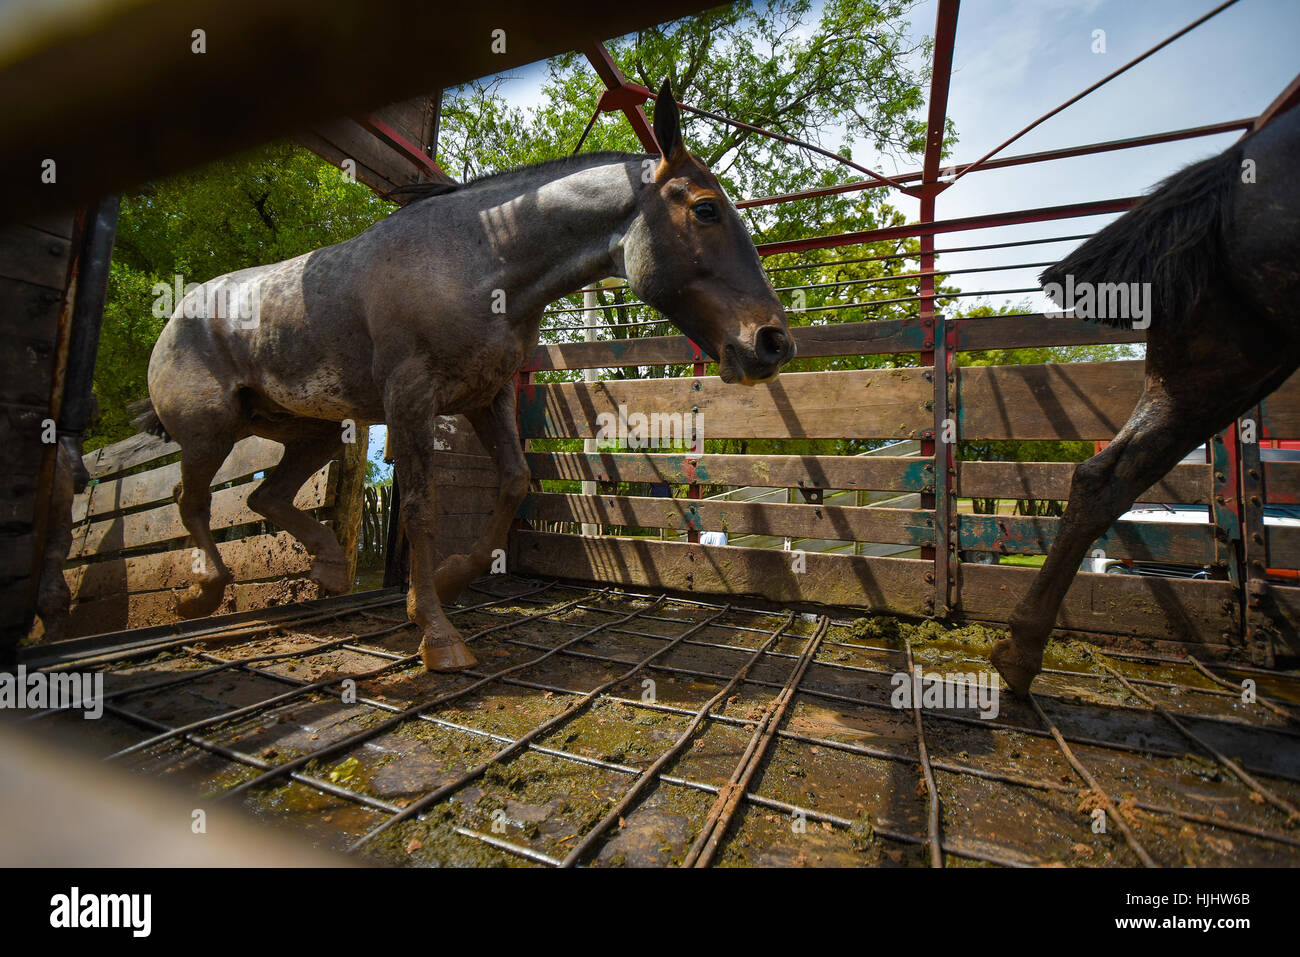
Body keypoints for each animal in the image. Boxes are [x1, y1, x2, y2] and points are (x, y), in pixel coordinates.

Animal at [134, 79, 795, 672]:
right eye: (705, 209)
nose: (773, 341)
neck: (477, 261)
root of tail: (178, 314)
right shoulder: (411, 399)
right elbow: (422, 507)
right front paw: (437, 632)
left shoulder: (487, 397)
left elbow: (514, 483)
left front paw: (449, 584)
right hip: (211, 430)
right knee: (192, 501)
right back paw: (201, 594)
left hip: (312, 431)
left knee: (264, 494)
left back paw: (329, 567)